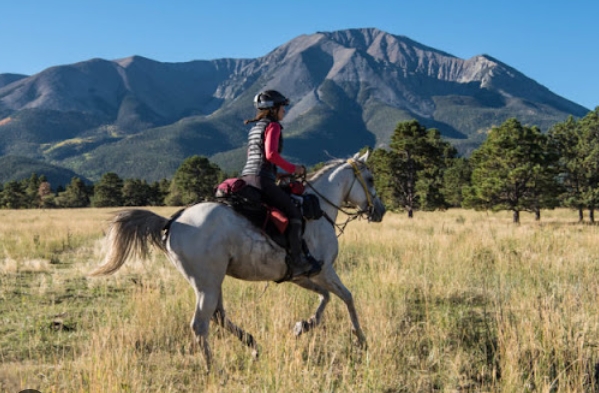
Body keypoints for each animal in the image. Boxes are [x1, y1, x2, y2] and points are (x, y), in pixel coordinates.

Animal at [91, 150, 386, 368]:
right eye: (370, 179)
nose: (380, 210)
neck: (318, 209)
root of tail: (173, 222)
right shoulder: (324, 270)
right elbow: (346, 297)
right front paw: (361, 339)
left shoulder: (301, 275)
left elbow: (324, 299)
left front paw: (302, 326)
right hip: (208, 283)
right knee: (201, 324)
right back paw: (212, 368)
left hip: (212, 281)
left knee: (218, 317)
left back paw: (253, 347)